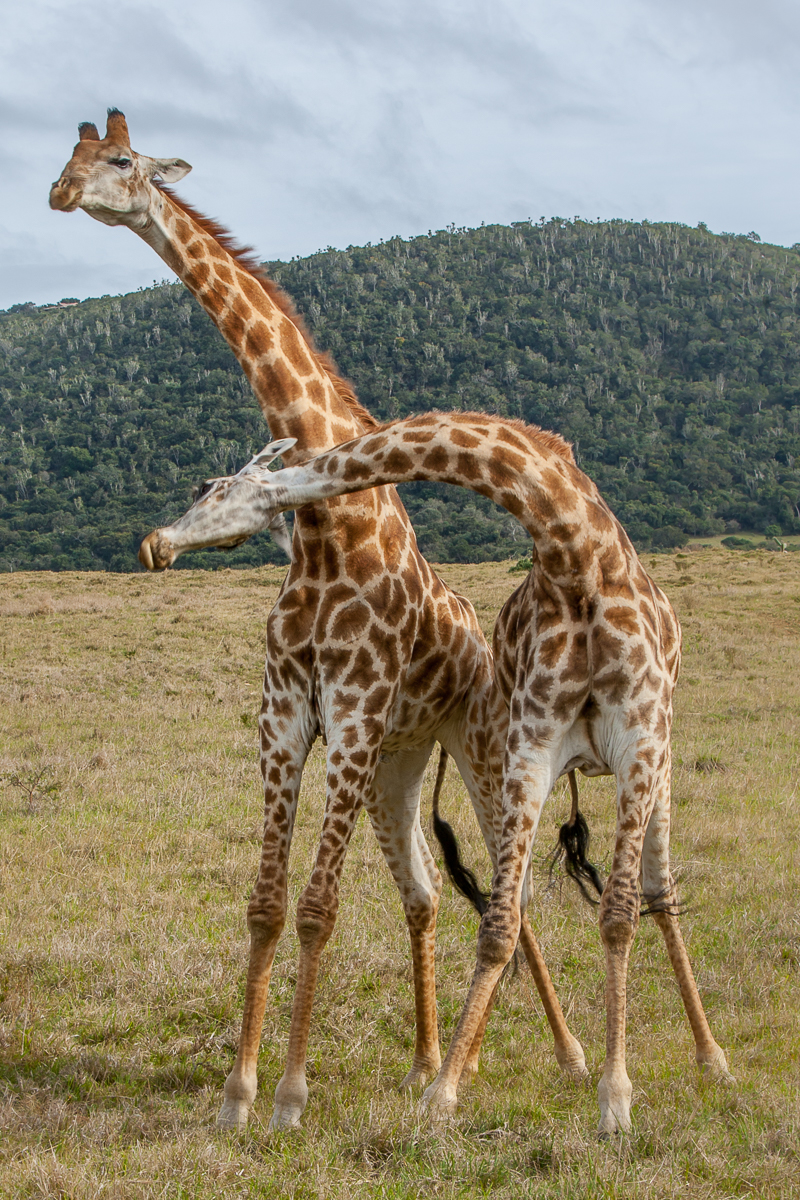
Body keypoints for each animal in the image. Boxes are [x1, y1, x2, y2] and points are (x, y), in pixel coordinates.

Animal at [51, 108, 587, 1128]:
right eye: (71, 152)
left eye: (123, 160)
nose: (60, 195)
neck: (331, 533)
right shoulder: (286, 713)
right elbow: (266, 903)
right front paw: (238, 1092)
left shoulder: (351, 709)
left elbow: (315, 909)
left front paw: (292, 1094)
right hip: (397, 767)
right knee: (423, 889)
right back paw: (426, 1063)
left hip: (477, 746)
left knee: (515, 894)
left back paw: (562, 1057)